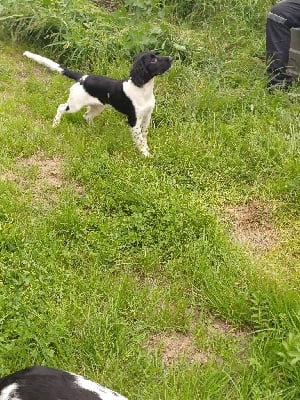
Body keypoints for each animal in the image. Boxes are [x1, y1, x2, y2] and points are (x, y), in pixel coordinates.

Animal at [22, 50, 173, 156]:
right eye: (153, 60)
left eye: (157, 55)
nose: (171, 58)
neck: (143, 89)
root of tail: (82, 77)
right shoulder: (133, 120)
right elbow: (139, 138)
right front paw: (145, 154)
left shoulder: (147, 115)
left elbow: (144, 135)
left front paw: (146, 149)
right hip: (75, 105)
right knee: (61, 107)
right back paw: (55, 124)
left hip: (98, 107)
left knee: (87, 115)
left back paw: (93, 130)